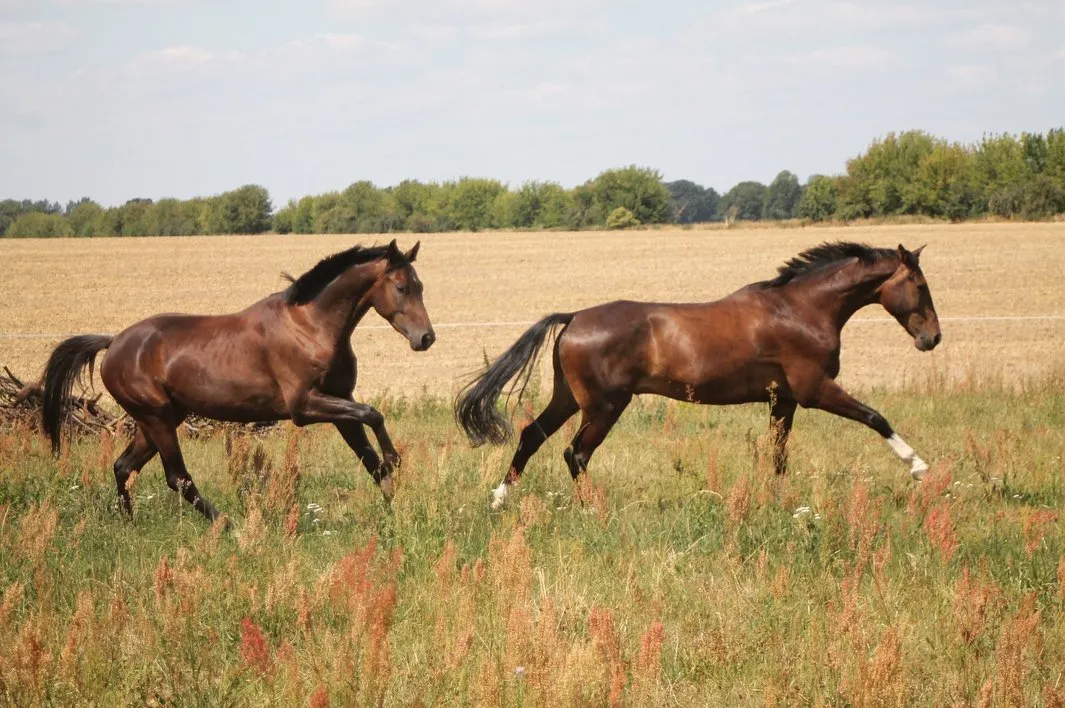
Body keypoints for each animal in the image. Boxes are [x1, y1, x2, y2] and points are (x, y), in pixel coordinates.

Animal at [41, 239, 434, 522]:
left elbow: (368, 455)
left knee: (124, 467)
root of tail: (114, 342)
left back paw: (130, 525)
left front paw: (393, 507)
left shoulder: (340, 401)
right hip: (157, 418)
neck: (310, 326)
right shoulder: (305, 406)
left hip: (156, 420)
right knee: (177, 477)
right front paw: (395, 460)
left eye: (421, 286)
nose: (426, 338)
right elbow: (373, 414)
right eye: (402, 287)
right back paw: (227, 524)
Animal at [456, 242, 942, 509]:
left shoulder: (783, 399)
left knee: (531, 437)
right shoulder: (815, 390)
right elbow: (876, 417)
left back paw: (499, 499)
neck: (800, 309)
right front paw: (918, 467)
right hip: (605, 406)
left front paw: (781, 503)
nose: (932, 338)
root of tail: (573, 317)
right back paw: (596, 509)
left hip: (569, 399)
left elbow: (778, 454)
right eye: (919, 286)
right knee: (575, 453)